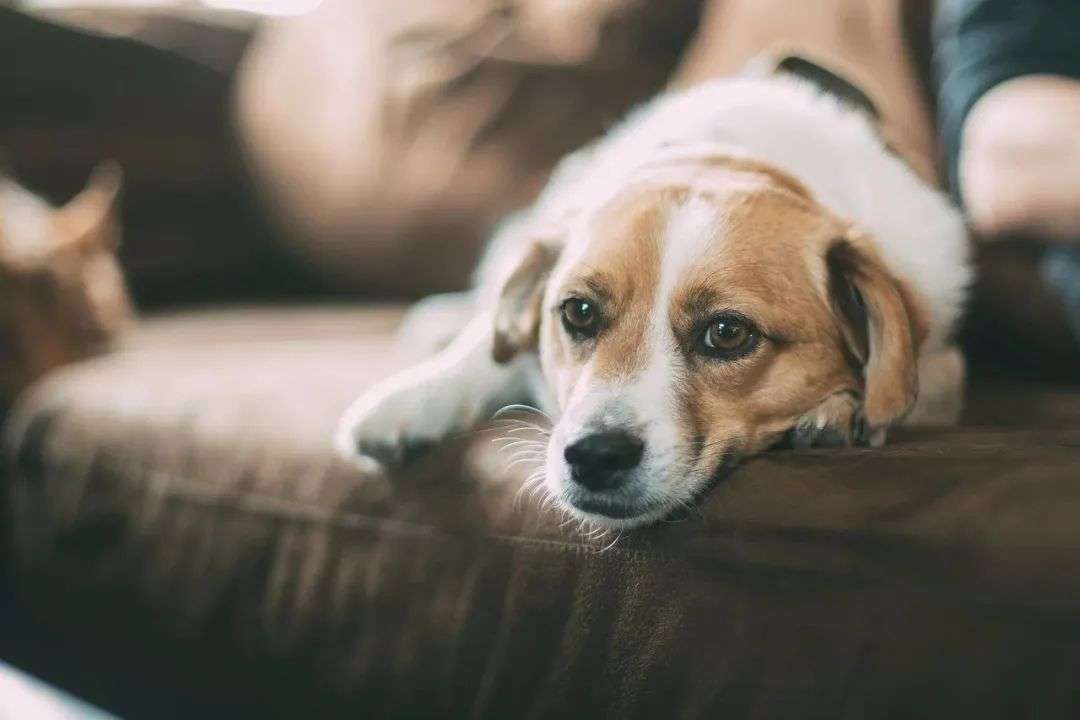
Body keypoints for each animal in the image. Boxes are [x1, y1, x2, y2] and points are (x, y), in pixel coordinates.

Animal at [334, 59, 972, 526]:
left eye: (727, 333)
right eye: (578, 312)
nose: (594, 457)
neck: (728, 157)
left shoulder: (942, 358)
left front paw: (839, 408)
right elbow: (484, 350)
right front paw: (412, 399)